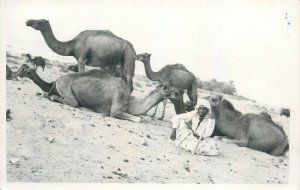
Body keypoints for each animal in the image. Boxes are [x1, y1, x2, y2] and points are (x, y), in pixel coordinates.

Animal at [18, 64, 172, 122]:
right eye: (169, 88)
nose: (175, 93)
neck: (131, 102)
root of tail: (57, 80)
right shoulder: (116, 110)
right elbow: (139, 119)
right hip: (66, 88)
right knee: (72, 102)